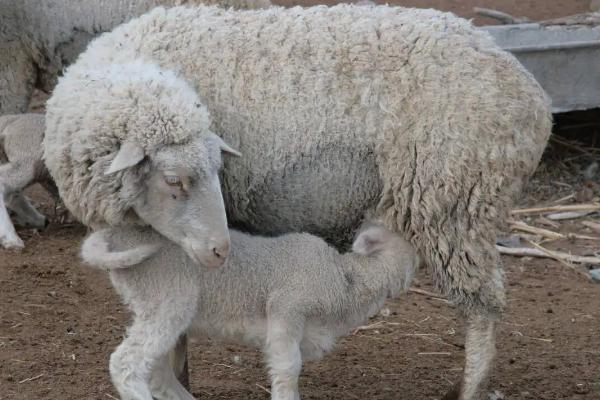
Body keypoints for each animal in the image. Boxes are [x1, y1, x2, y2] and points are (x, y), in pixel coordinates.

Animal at [81, 222, 418, 400]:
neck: (345, 279)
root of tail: (114, 236)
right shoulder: (287, 308)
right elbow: (289, 368)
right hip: (168, 300)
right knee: (125, 362)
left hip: (156, 308)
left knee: (156, 370)